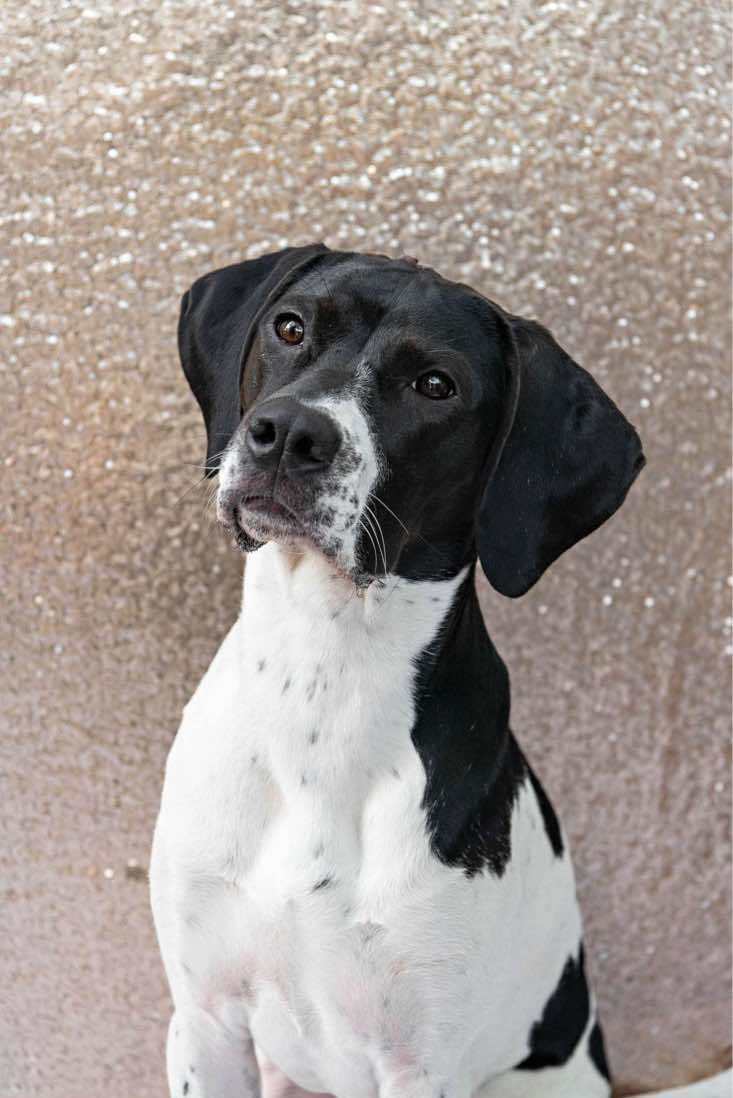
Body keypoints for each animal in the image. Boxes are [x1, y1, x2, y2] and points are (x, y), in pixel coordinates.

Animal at [153, 242, 645, 1098]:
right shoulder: (205, 1022)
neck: (321, 679)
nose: (288, 433)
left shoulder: (416, 1064)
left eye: (435, 385)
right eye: (290, 327)